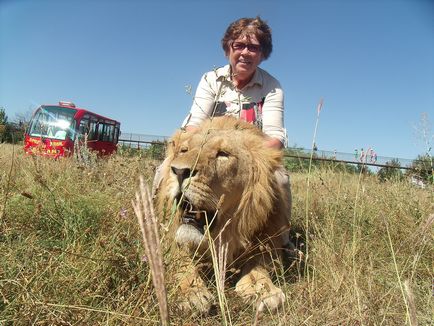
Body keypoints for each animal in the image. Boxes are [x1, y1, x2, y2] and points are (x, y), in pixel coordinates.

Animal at [156, 116, 292, 314]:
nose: (179, 171)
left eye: (223, 154)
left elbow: (258, 264)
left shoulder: (267, 240)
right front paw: (191, 293)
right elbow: (181, 264)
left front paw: (264, 290)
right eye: (184, 150)